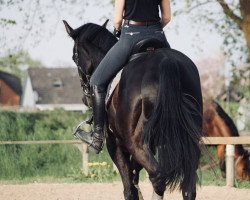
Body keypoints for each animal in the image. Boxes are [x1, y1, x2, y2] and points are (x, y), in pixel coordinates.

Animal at [63, 19, 204, 200]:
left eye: (74, 57)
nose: (85, 98)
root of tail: (166, 61)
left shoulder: (115, 144)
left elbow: (129, 188)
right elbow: (135, 178)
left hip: (135, 143)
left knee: (157, 178)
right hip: (185, 140)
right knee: (187, 188)